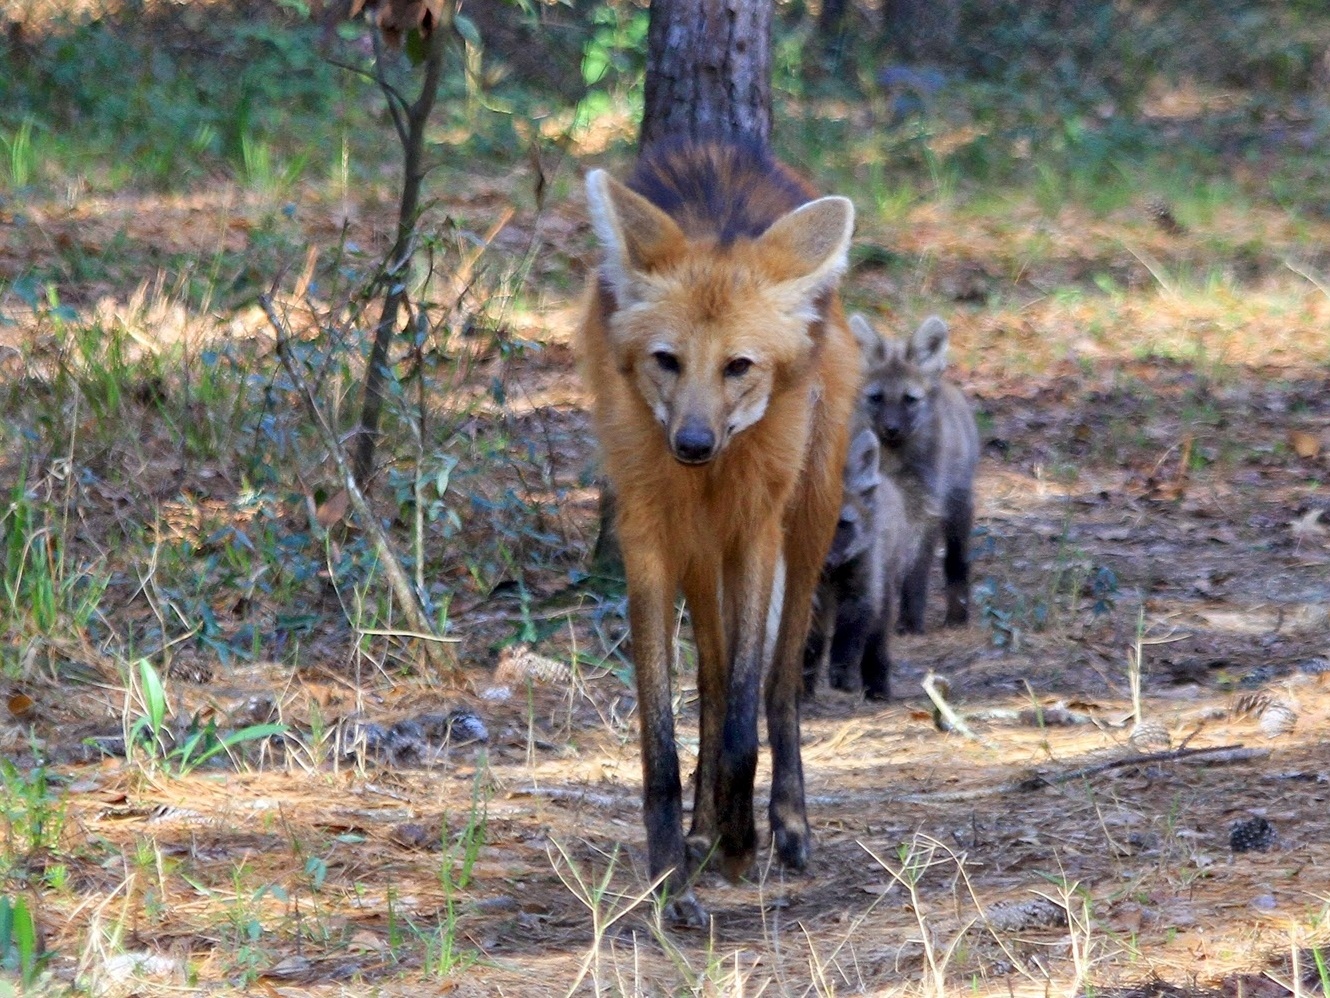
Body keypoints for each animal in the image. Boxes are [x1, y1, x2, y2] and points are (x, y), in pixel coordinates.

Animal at [577, 141, 856, 920]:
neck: (712, 476)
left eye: (738, 366)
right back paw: (702, 831)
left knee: (778, 680)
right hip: (700, 549)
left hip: (812, 512)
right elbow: (662, 739)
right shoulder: (650, 533)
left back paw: (785, 823)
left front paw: (739, 842)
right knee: (709, 667)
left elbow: (742, 721)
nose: (693, 443)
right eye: (667, 360)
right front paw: (672, 875)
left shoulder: (755, 526)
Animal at [851, 314, 978, 641]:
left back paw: (957, 613)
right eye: (876, 398)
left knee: (956, 562)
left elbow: (916, 572)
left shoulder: (926, 507)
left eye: (909, 399)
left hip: (958, 506)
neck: (894, 463)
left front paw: (910, 620)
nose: (891, 429)